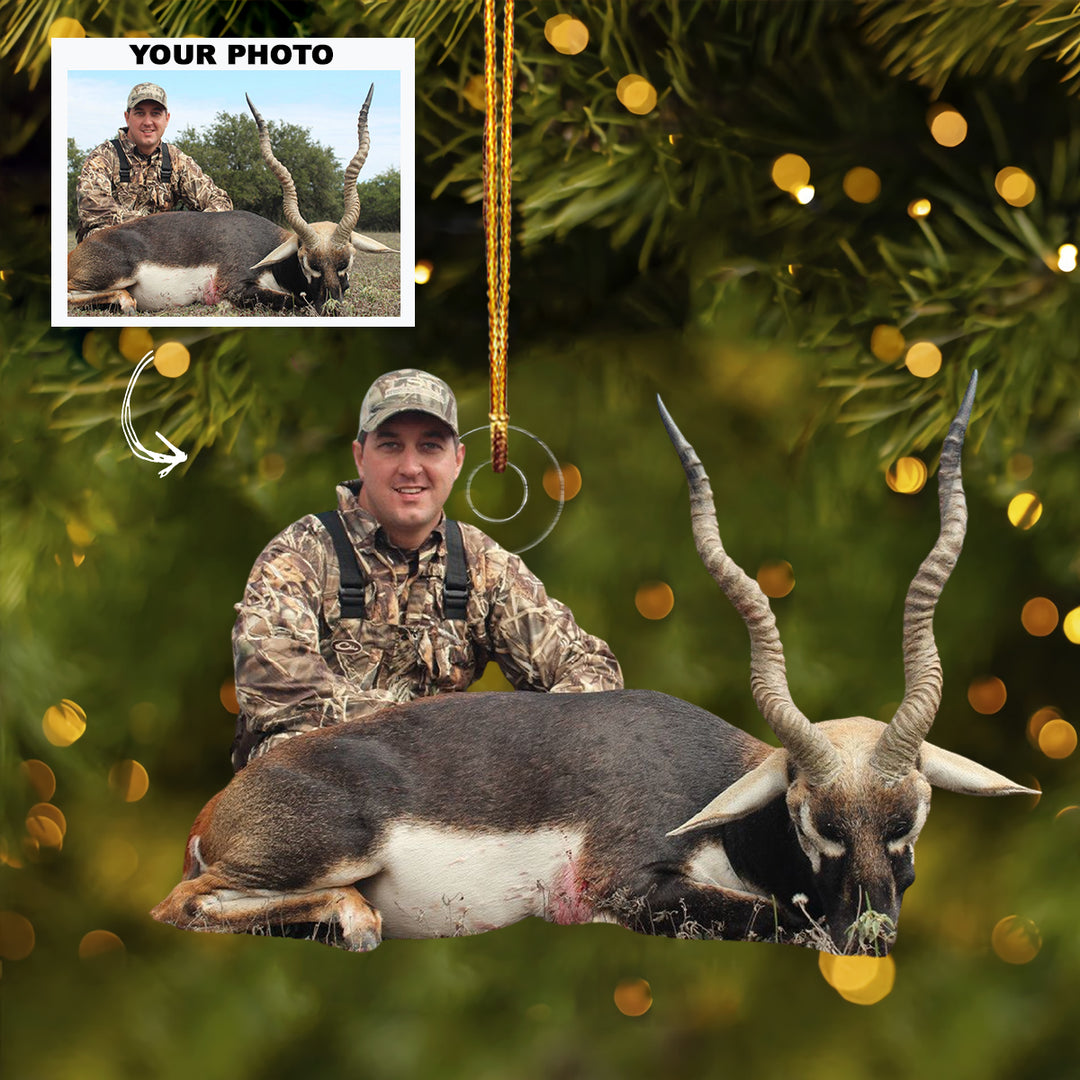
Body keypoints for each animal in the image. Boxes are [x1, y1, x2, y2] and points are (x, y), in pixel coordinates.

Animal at [67, 86, 394, 315]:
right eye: (306, 261)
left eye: (347, 260)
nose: (332, 308)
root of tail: (77, 253)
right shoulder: (235, 286)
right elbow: (295, 301)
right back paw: (124, 302)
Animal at [151, 372, 1035, 955]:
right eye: (815, 819)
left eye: (910, 818)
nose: (872, 934)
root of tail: (218, 808)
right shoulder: (628, 886)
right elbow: (784, 917)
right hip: (330, 847)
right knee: (181, 907)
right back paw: (353, 923)